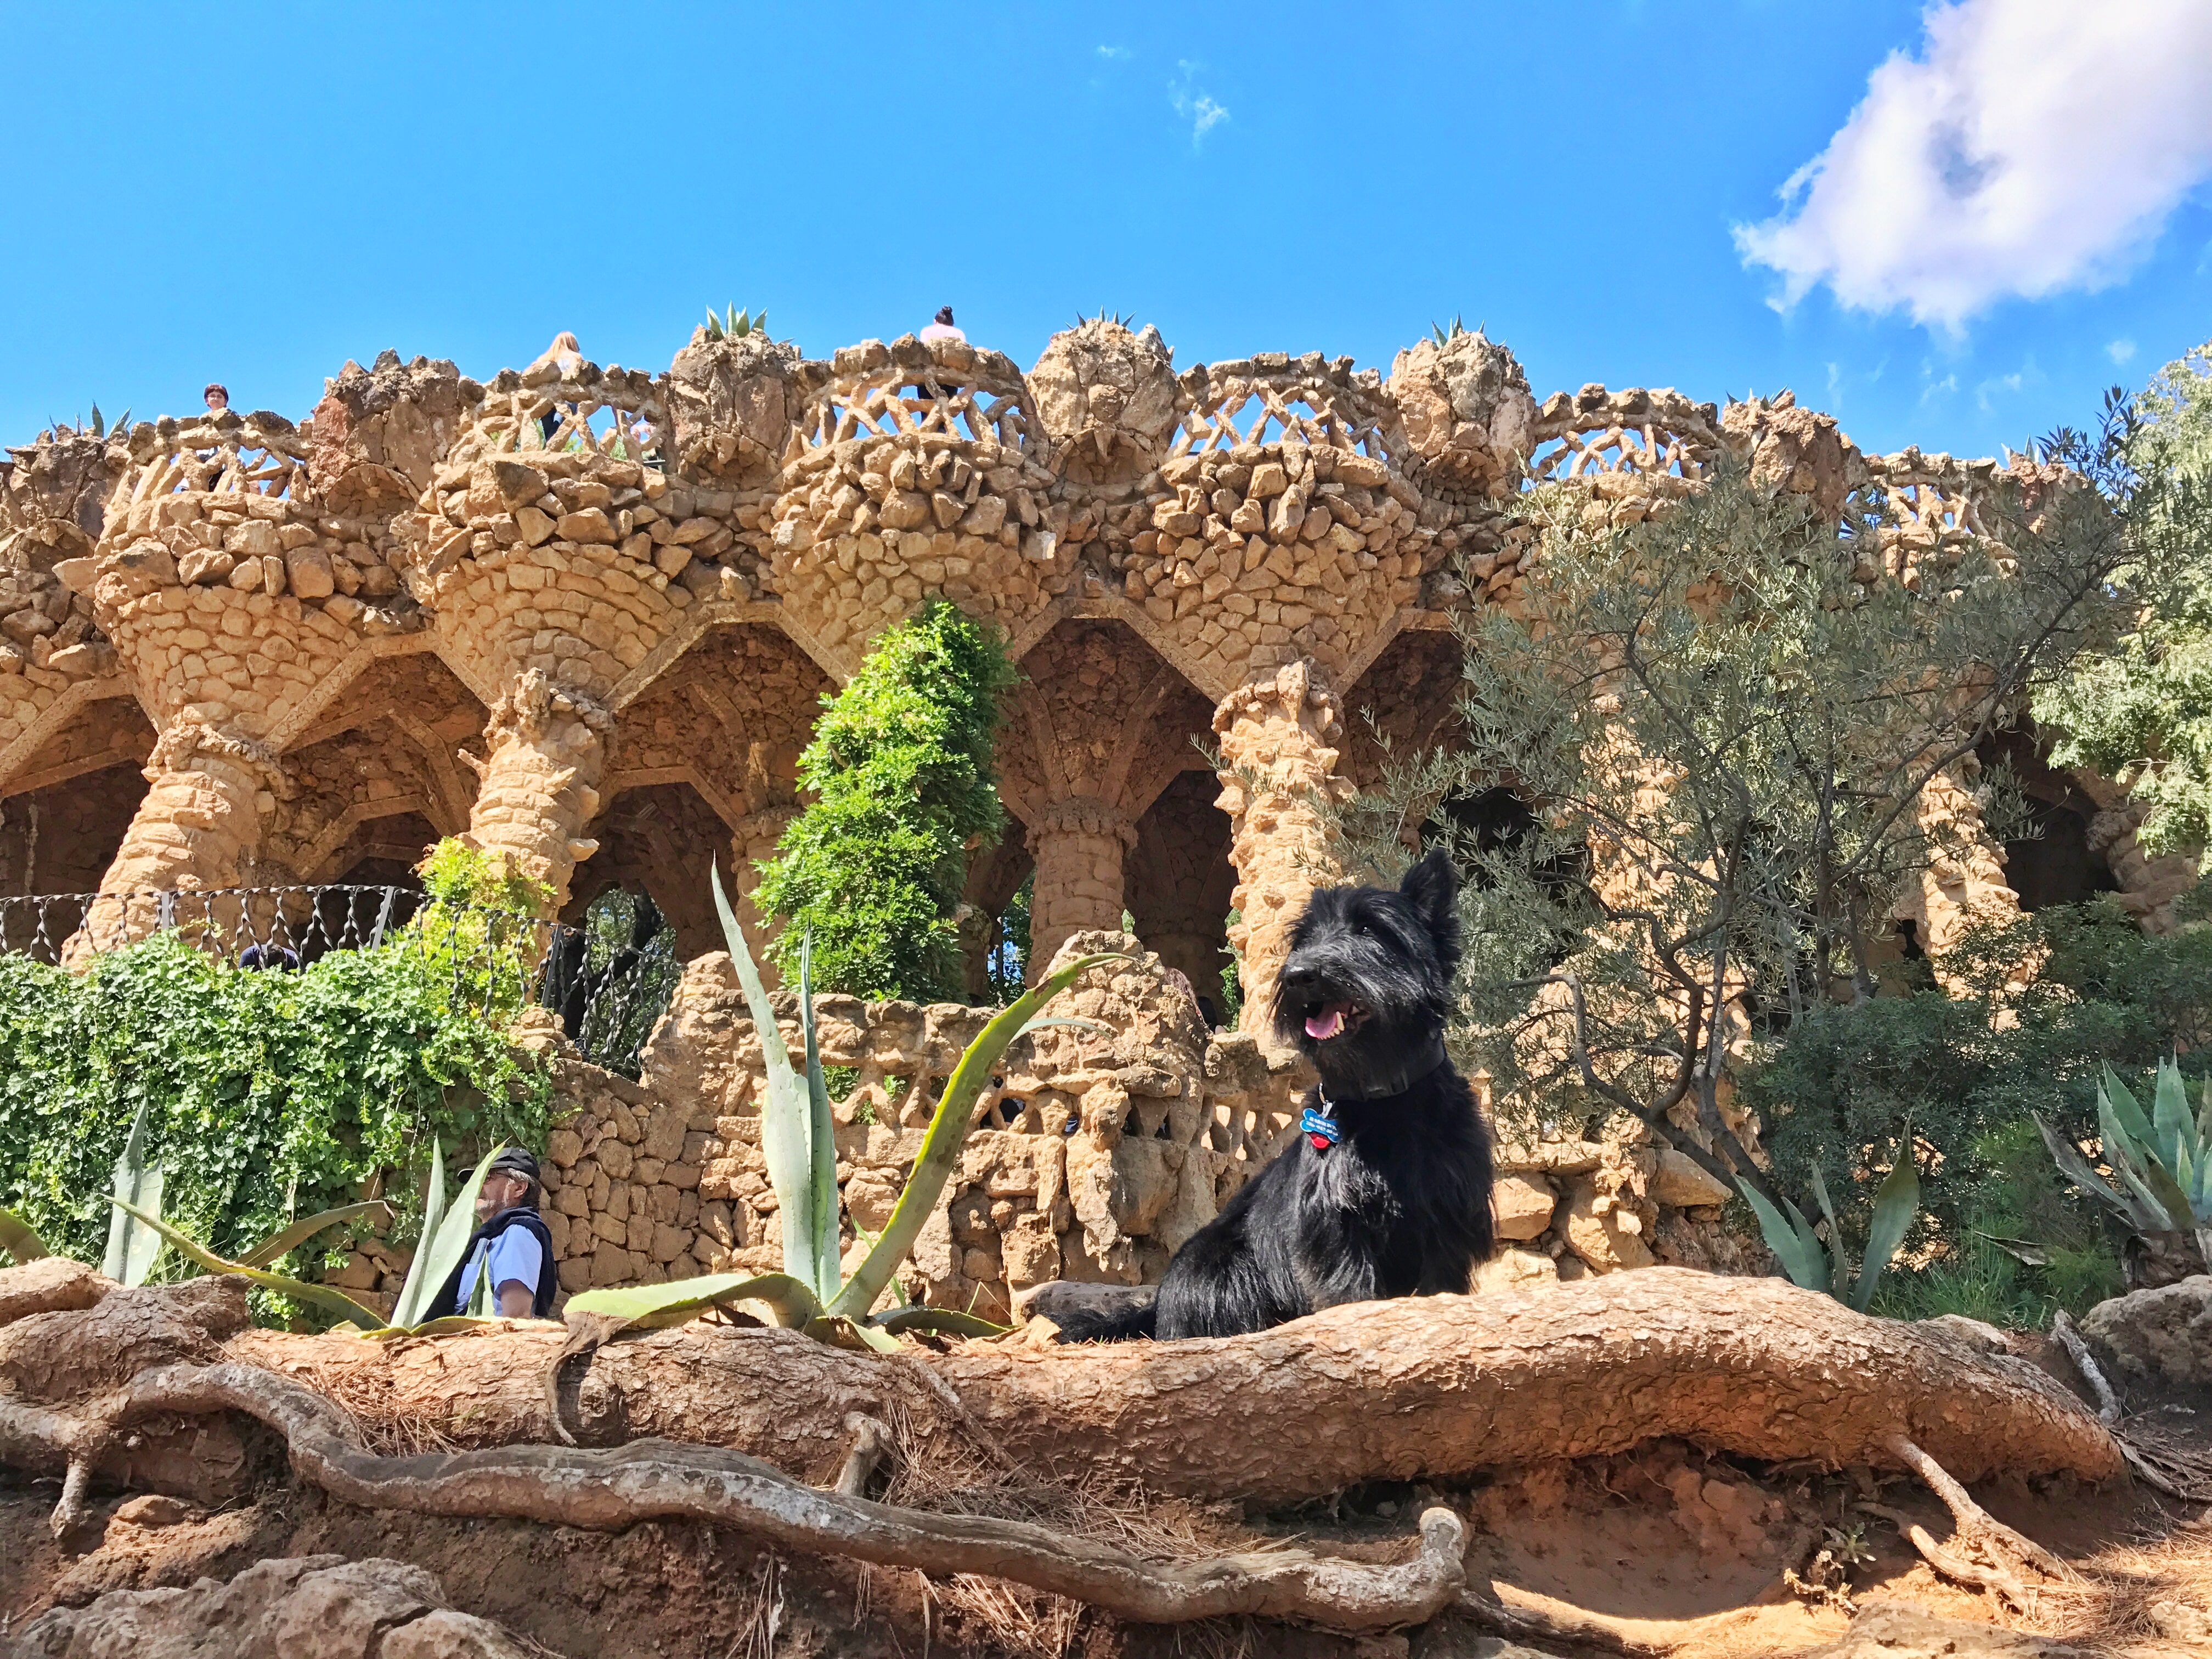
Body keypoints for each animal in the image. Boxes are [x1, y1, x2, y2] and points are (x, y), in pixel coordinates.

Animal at [1048, 849, 1495, 1345]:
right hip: (1223, 1270)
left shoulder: (1445, 1226)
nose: (1299, 975)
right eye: (1303, 939)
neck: (1386, 1102)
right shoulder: (1338, 1231)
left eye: (1369, 929)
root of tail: (1160, 1301)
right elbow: (1351, 1295)